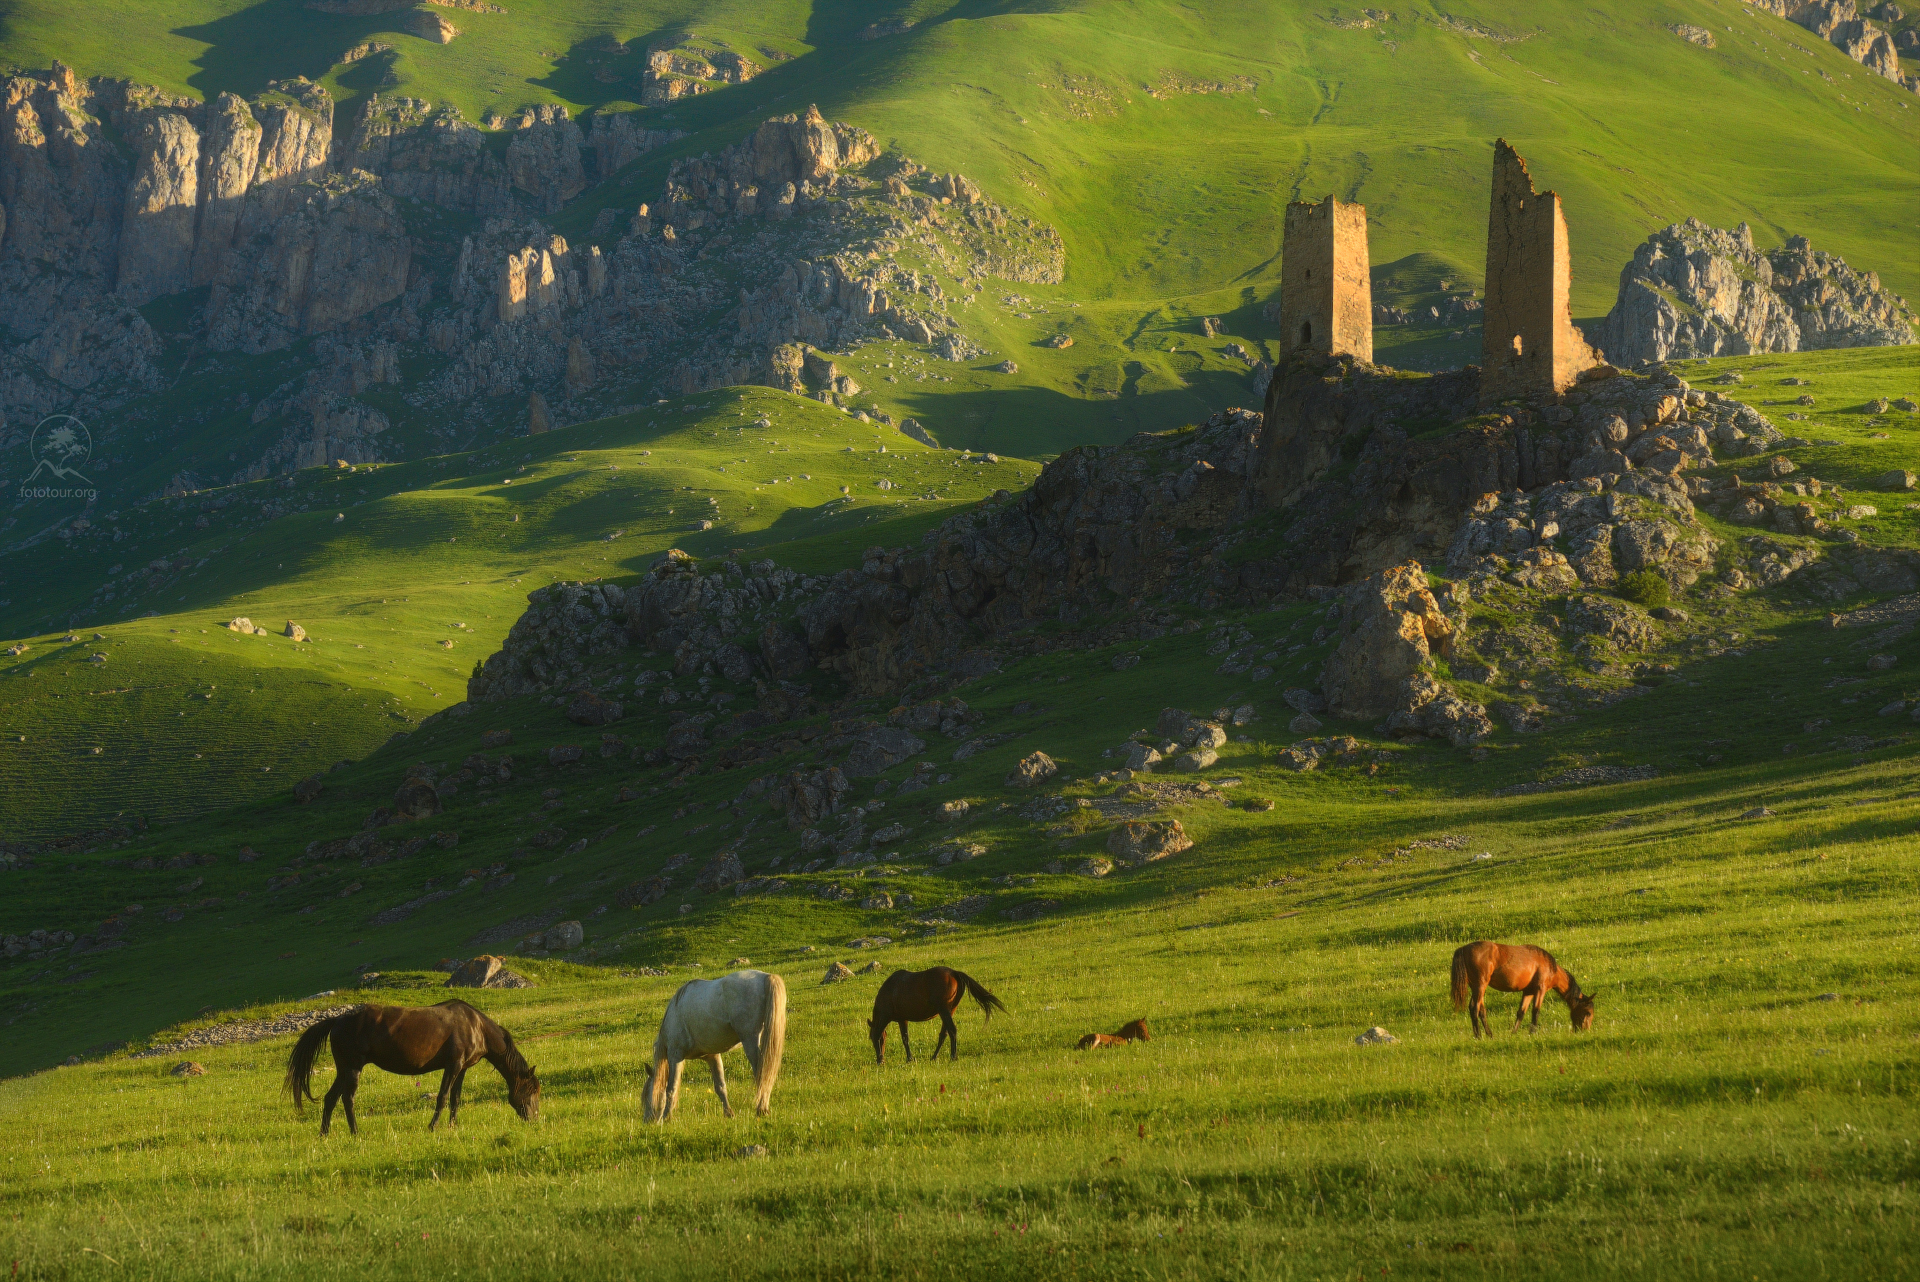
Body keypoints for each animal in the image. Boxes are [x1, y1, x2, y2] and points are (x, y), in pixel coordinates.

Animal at [282, 997, 541, 1128]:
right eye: (533, 1091)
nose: (534, 1119)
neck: (475, 1026)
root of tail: (336, 1021)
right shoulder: (453, 1065)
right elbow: (443, 1097)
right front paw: (433, 1127)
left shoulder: (462, 1069)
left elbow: (455, 1099)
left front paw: (452, 1126)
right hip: (353, 1068)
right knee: (348, 1099)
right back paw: (355, 1132)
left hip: (343, 1069)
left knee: (330, 1099)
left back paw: (324, 1134)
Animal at [645, 971, 787, 1120]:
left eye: (646, 1098)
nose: (648, 1122)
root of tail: (766, 976)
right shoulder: (712, 1056)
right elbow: (720, 1086)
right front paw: (728, 1113)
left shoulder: (675, 1056)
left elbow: (671, 1088)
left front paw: (666, 1117)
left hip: (750, 1040)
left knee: (761, 1072)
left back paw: (761, 1109)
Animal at [867, 967, 1006, 1067]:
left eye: (872, 1040)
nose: (880, 1060)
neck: (890, 991)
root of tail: (954, 973)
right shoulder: (903, 1019)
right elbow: (905, 1039)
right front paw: (909, 1058)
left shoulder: (892, 1018)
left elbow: (894, 1037)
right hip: (950, 1010)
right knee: (944, 1034)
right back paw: (934, 1056)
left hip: (943, 1010)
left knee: (952, 1030)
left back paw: (953, 1056)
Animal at [1443, 940, 1597, 1044]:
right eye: (1588, 1013)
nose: (1584, 1031)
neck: (1549, 966)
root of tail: (1463, 949)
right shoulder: (1540, 989)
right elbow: (1536, 1011)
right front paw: (1533, 1032)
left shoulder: (1528, 992)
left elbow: (1521, 1012)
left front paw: (1514, 1033)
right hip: (1480, 986)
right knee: (1474, 1008)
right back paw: (1479, 1036)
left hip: (1478, 987)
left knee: (1481, 1010)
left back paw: (1489, 1035)